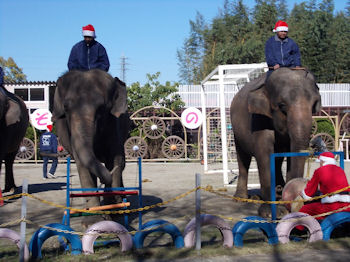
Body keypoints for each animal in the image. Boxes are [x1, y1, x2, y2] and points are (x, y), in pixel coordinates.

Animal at [54, 68, 131, 224]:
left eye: (102, 108)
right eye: (66, 108)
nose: (105, 178)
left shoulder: (114, 124)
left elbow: (115, 159)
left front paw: (113, 212)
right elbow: (82, 165)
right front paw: (94, 220)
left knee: (121, 164)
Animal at [231, 67, 322, 217]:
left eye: (314, 105)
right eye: (282, 106)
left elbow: (290, 154)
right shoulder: (258, 120)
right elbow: (265, 155)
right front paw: (272, 213)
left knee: (278, 161)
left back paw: (276, 191)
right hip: (237, 132)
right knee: (243, 159)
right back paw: (242, 199)